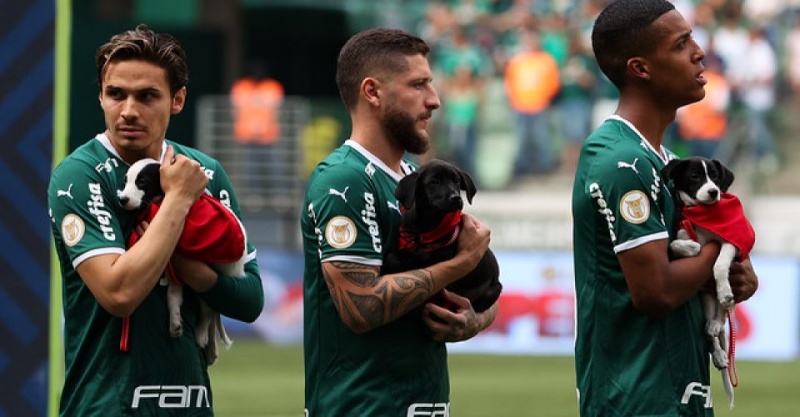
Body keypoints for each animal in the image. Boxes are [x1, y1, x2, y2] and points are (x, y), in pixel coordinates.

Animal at [119, 158, 247, 362]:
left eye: (142, 182)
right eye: (125, 181)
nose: (122, 199)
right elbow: (173, 296)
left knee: (209, 311)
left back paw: (202, 335)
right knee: (182, 300)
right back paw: (182, 328)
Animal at [382, 158, 500, 312]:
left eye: (456, 180)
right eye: (434, 181)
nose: (456, 198)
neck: (426, 227)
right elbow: (392, 258)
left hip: (493, 290)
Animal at [664, 156, 756, 406]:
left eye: (715, 176)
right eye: (695, 176)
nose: (714, 192)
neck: (703, 215)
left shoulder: (730, 243)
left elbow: (719, 264)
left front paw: (724, 289)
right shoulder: (682, 233)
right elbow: (676, 244)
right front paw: (691, 248)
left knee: (722, 313)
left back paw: (720, 312)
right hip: (704, 297)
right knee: (710, 328)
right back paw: (717, 348)